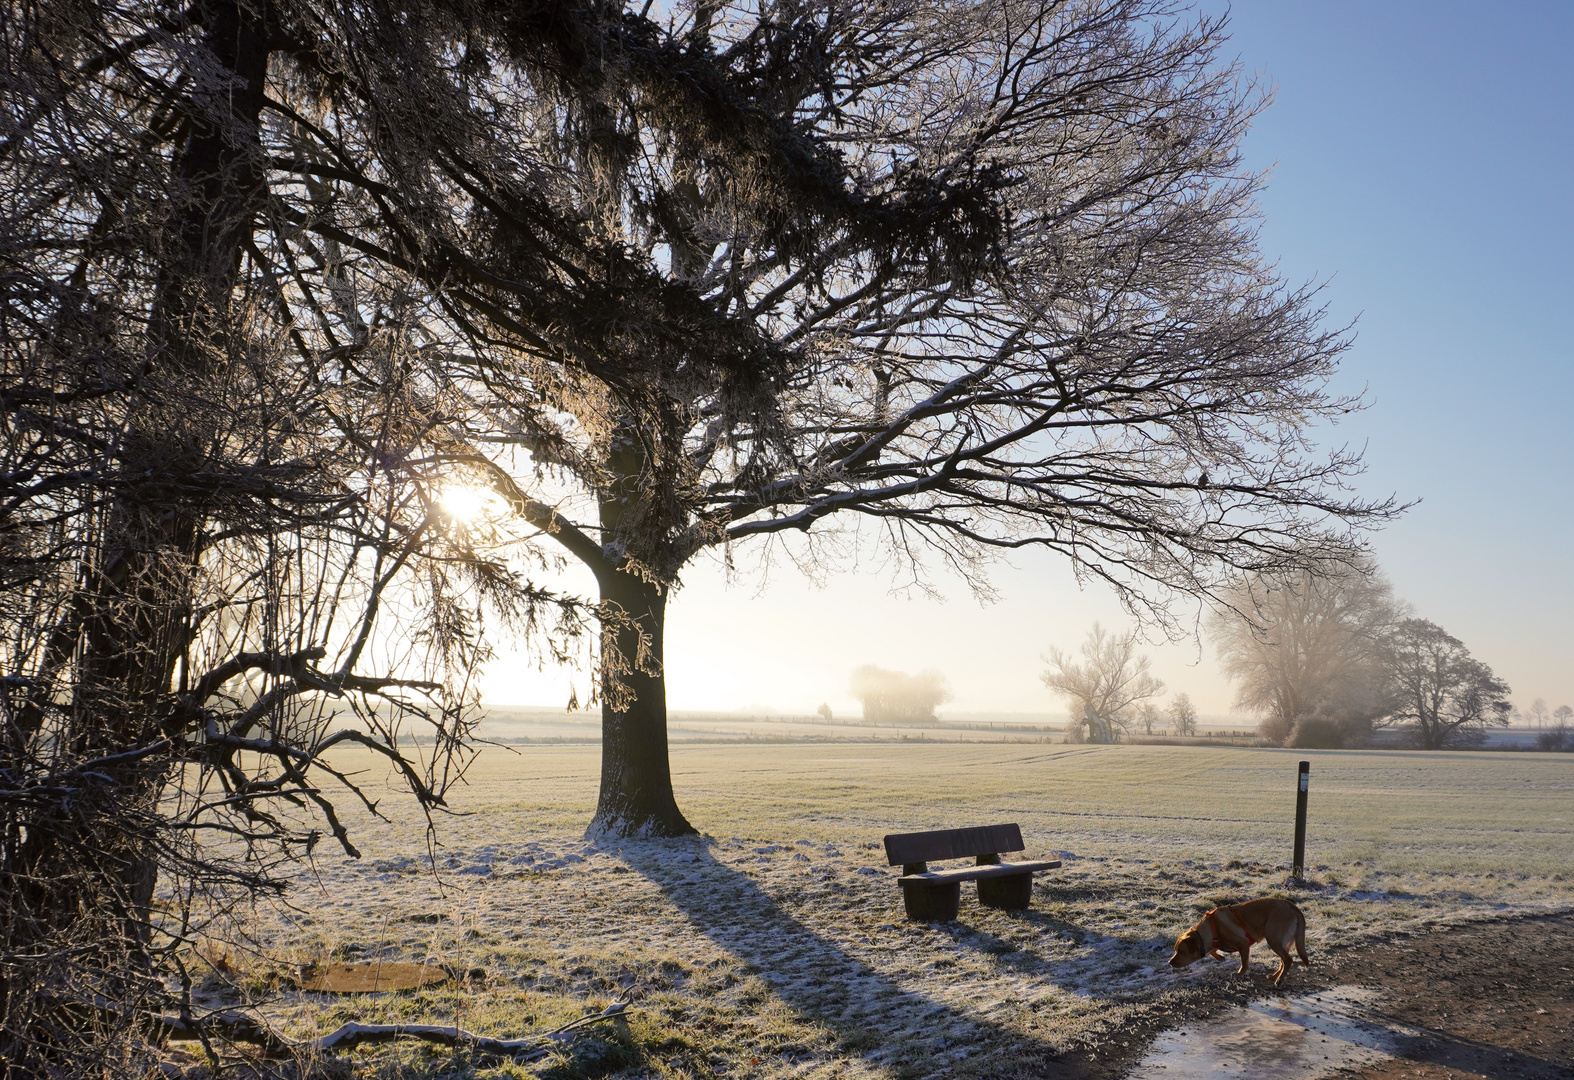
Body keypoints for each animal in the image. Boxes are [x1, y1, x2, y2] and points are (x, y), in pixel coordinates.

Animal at [1164, 894, 1309, 988]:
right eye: (1176, 950)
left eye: (1181, 951)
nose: (1169, 963)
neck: (1212, 929)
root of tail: (1294, 908)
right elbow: (1212, 950)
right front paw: (1221, 958)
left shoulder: (1243, 944)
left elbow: (1244, 963)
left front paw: (1240, 973)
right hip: (1281, 942)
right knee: (1283, 961)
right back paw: (1275, 976)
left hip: (1274, 939)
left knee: (1288, 960)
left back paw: (1279, 980)